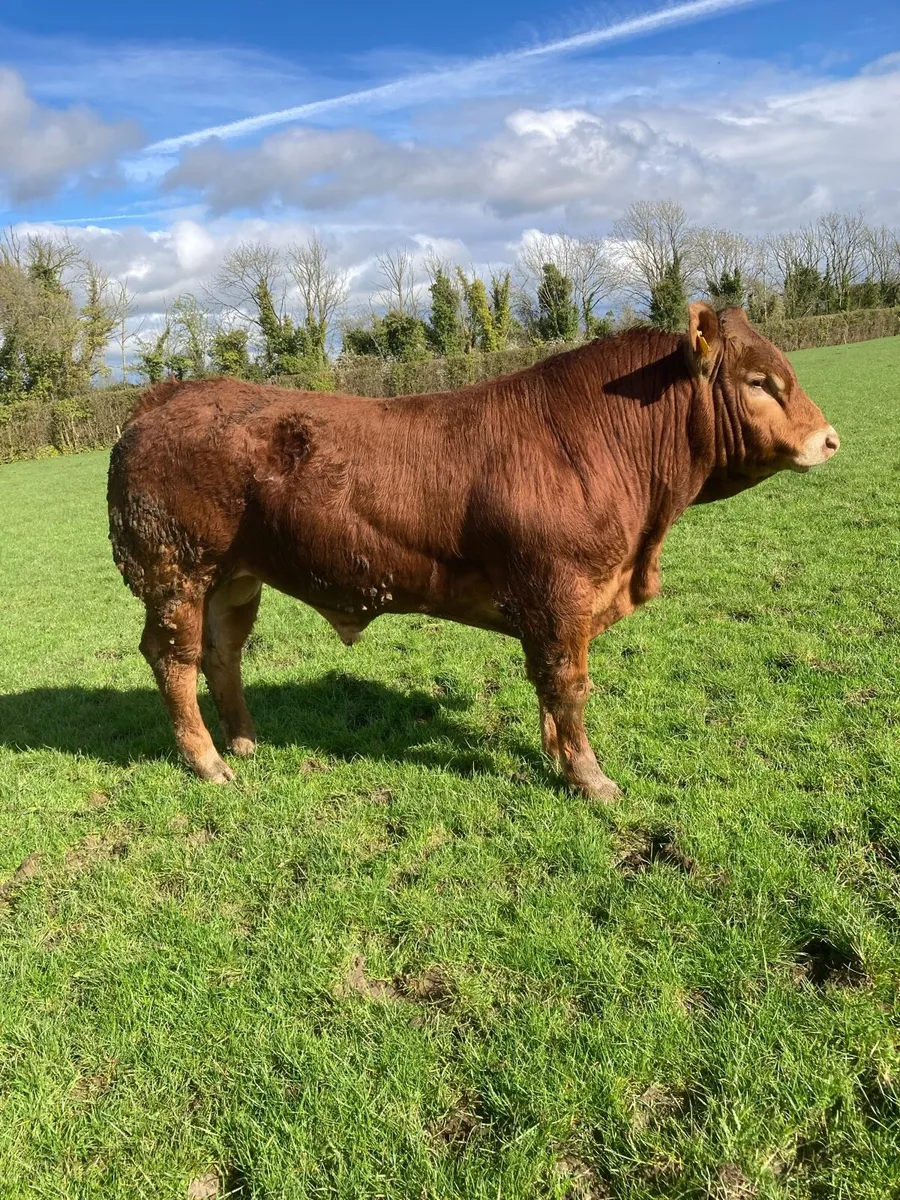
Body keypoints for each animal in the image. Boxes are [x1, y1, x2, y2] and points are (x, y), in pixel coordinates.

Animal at [107, 303, 839, 799]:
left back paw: (244, 739)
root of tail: (170, 394)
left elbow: (548, 684)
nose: (829, 439)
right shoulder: (558, 593)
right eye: (759, 381)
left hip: (235, 578)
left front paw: (555, 755)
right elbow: (568, 684)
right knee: (175, 660)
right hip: (176, 573)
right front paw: (589, 777)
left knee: (223, 653)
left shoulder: (554, 608)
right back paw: (208, 760)